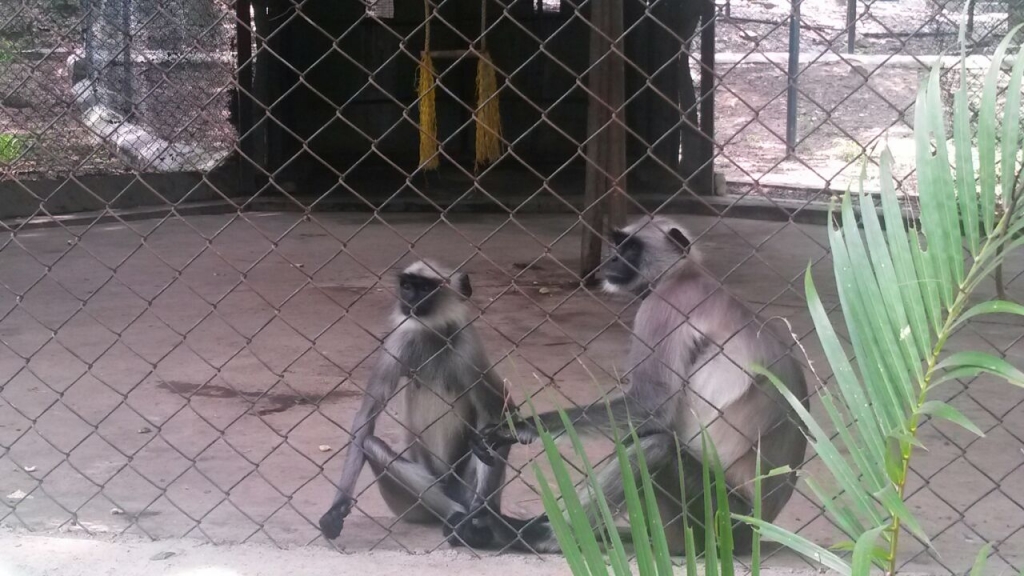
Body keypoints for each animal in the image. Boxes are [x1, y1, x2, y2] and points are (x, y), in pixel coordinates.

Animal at [319, 260, 521, 549]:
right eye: (407, 285)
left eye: (425, 288)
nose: (410, 299)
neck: (433, 335)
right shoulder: (399, 341)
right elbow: (366, 417)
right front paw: (337, 508)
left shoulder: (468, 347)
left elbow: (503, 415)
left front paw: (480, 517)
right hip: (412, 506)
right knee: (372, 444)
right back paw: (456, 518)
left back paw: (474, 521)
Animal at [472, 216, 810, 555]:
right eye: (618, 245)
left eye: (631, 249)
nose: (611, 260)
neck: (683, 273)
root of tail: (759, 528)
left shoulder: (664, 307)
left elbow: (651, 406)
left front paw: (519, 427)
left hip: (721, 519)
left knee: (654, 447)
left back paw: (543, 537)